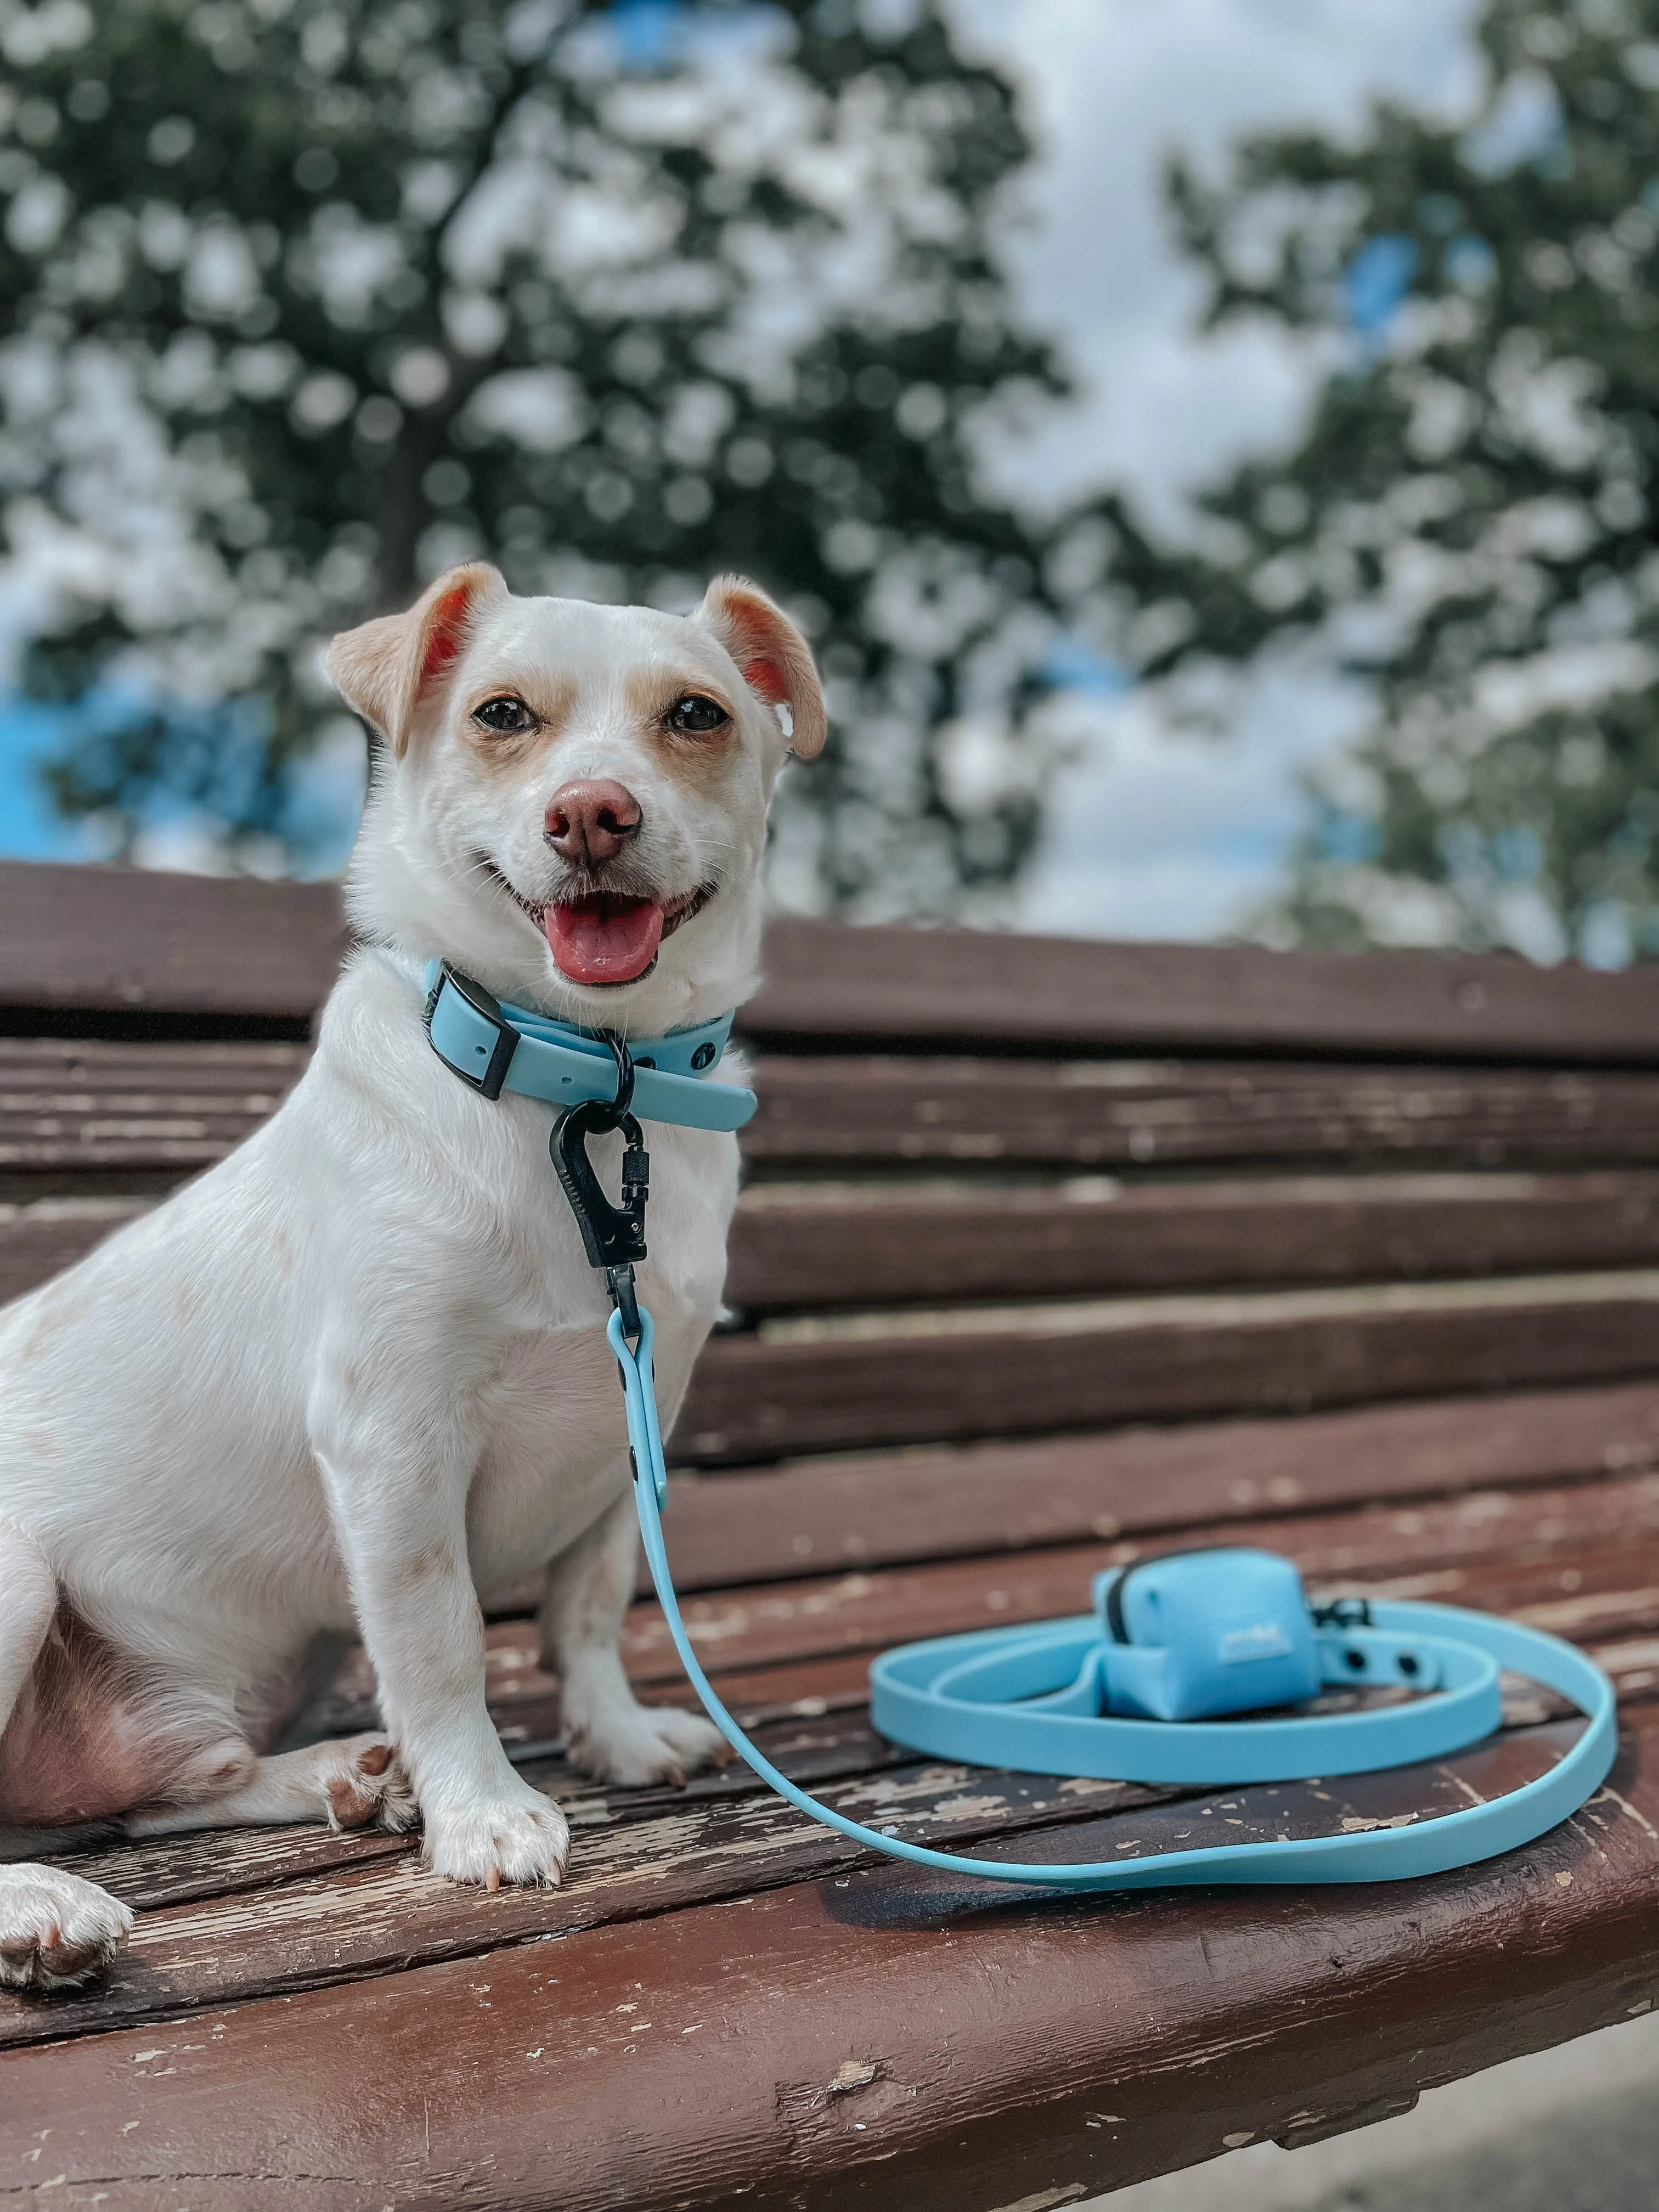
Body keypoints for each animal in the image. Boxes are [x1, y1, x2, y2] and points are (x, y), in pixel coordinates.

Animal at [0, 566, 827, 1990]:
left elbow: (591, 1609)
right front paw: (483, 1810)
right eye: (502, 714)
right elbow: (443, 1645)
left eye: (696, 715)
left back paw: (336, 1775)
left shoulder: (633, 1419)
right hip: (12, 1576)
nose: (593, 812)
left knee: (158, 1788)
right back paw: (42, 1908)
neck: (584, 1091)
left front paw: (615, 1738)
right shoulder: (393, 1443)